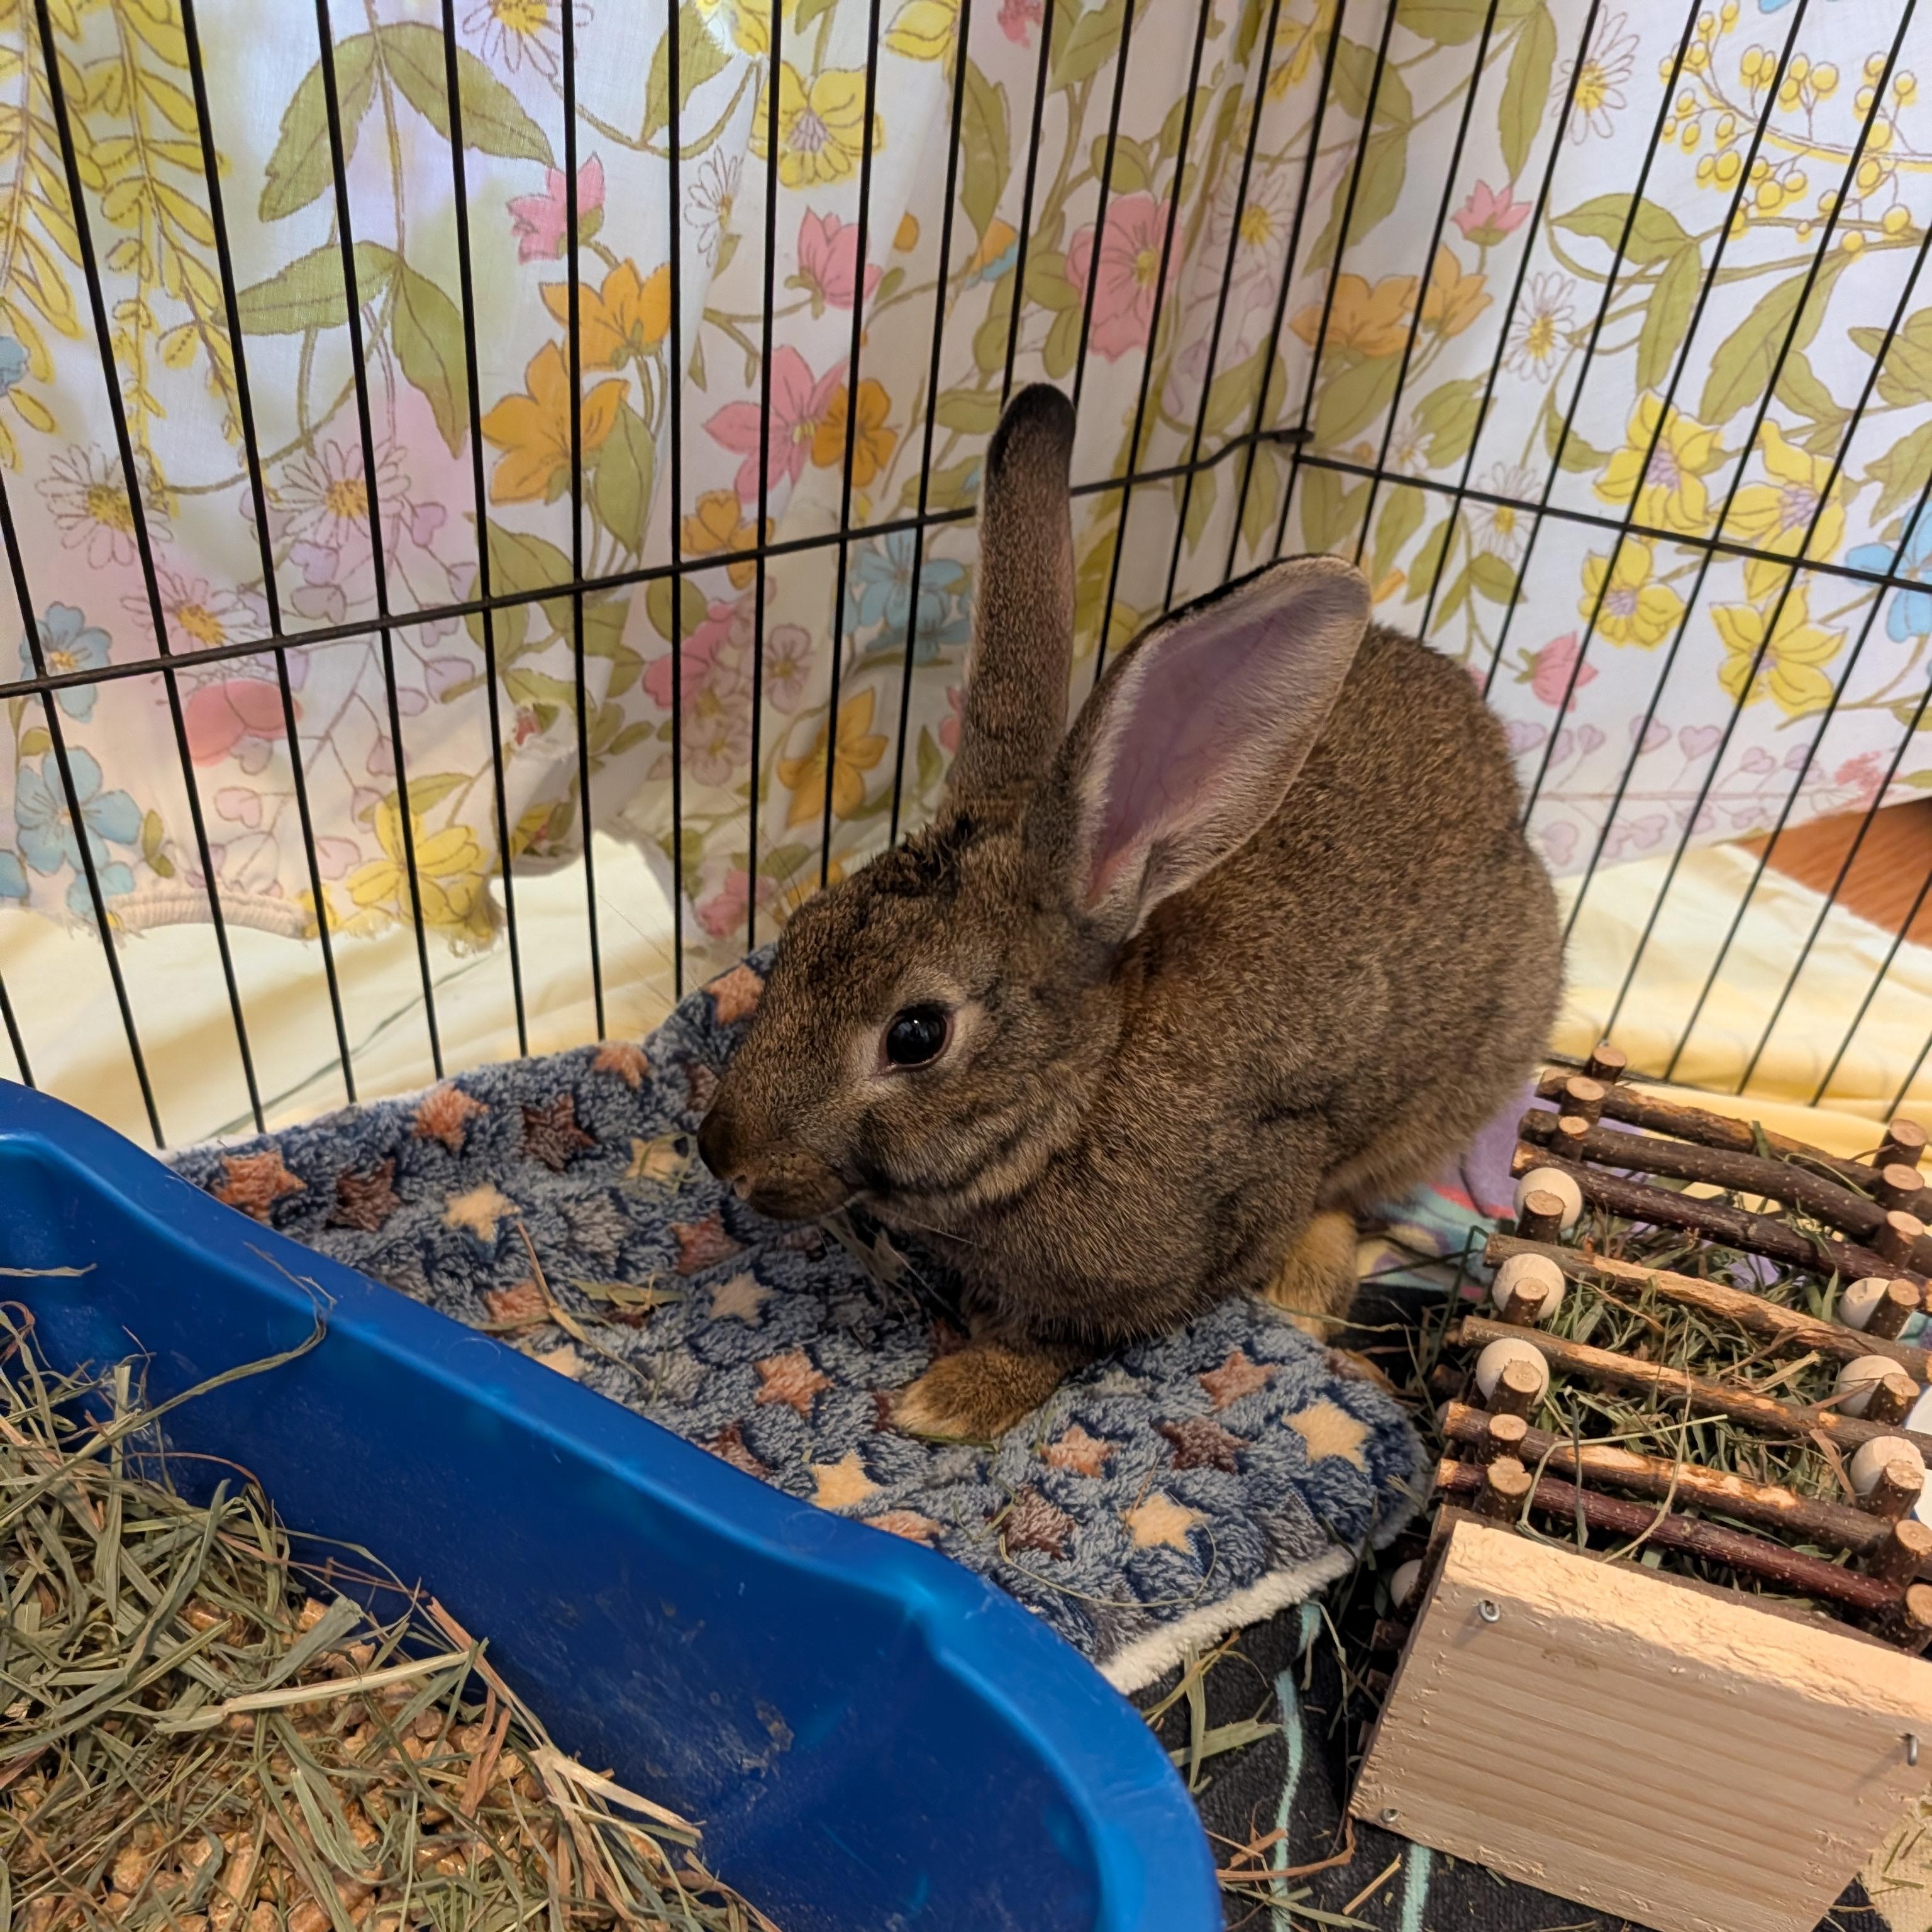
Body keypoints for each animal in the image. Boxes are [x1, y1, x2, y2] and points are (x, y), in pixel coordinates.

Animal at [698, 382, 1563, 1442]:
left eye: (916, 1035)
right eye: (798, 938)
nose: (723, 1154)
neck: (1081, 1090)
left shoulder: (1199, 1243)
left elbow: (1067, 1342)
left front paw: (952, 1398)